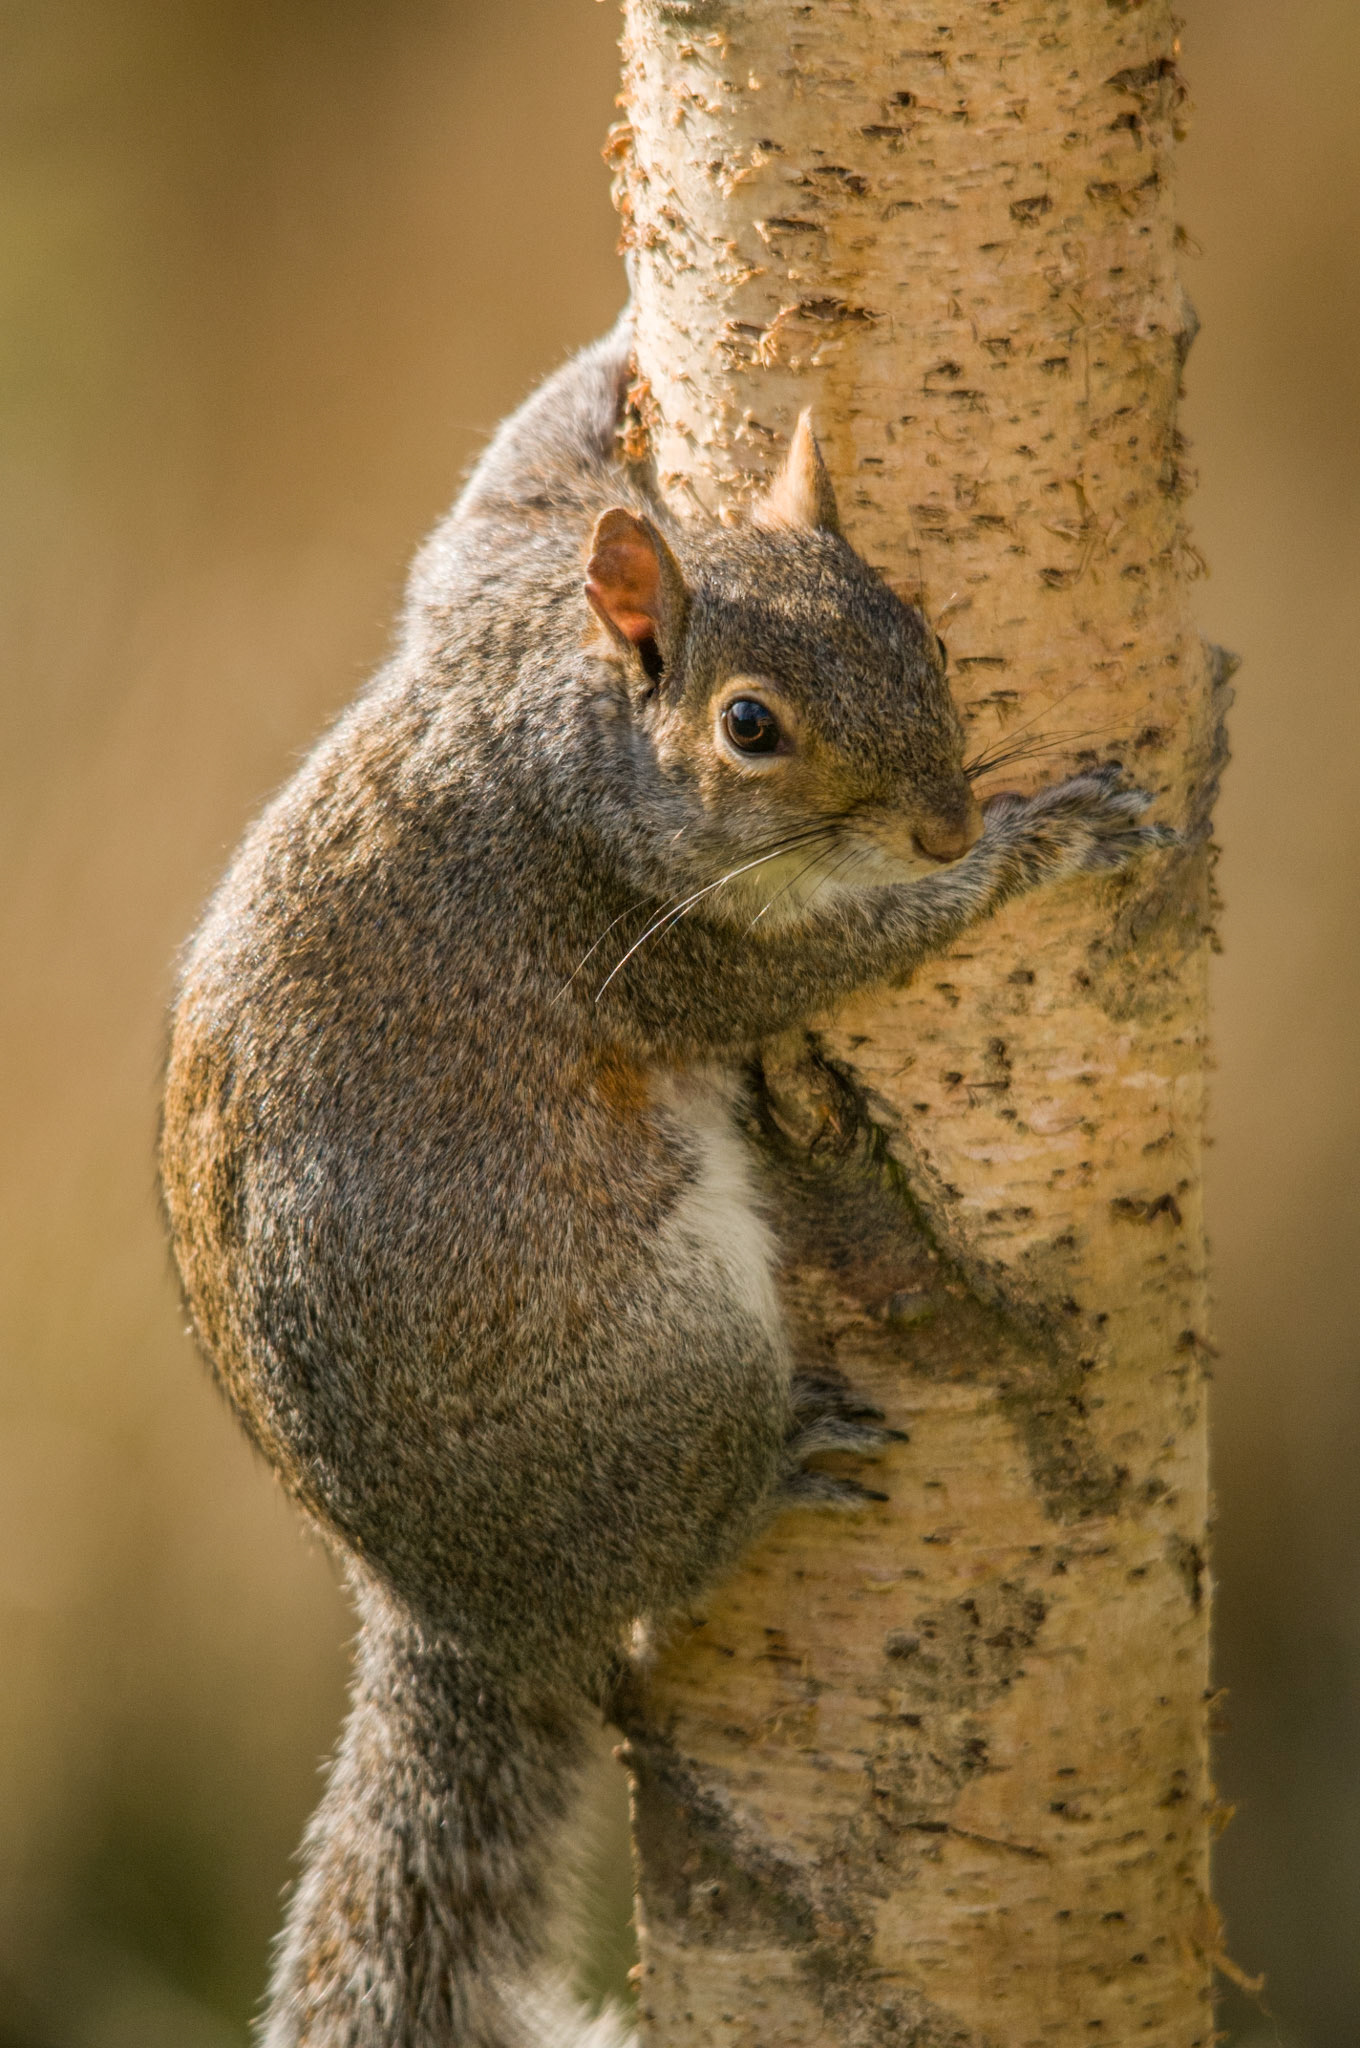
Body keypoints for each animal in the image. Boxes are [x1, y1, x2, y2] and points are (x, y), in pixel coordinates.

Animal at [159, 314, 1170, 2048]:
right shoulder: (656, 937)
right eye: (749, 727)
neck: (557, 719)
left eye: (920, 631)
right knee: (661, 1574)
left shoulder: (474, 585)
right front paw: (1039, 848)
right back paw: (768, 1480)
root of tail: (451, 1607)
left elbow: (490, 494)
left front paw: (608, 365)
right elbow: (850, 949)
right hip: (671, 1371)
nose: (946, 819)